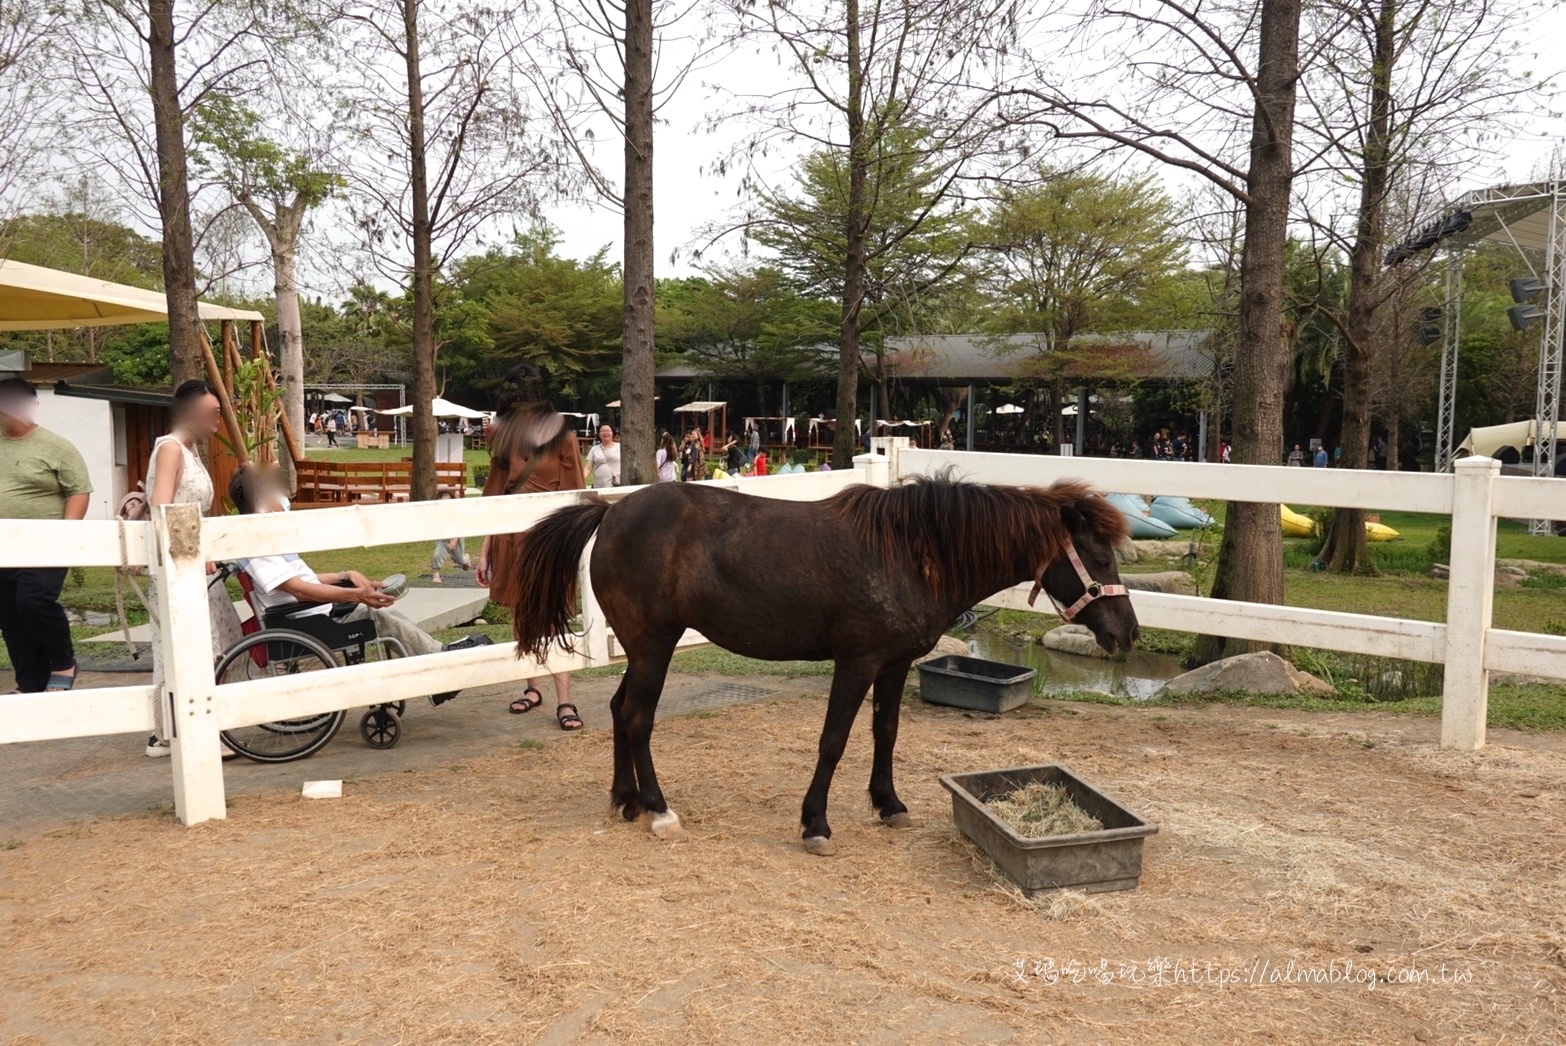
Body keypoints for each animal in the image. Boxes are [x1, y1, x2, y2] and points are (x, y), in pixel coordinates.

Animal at [513, 472, 1140, 851]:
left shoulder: (894, 664)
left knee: (621, 711)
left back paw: (625, 800)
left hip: (644, 651)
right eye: (1099, 557)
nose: (1127, 633)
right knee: (639, 718)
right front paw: (815, 821)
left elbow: (886, 732)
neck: (912, 553)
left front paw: (889, 803)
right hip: (653, 647)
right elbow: (834, 739)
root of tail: (610, 511)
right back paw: (658, 808)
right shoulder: (856, 663)